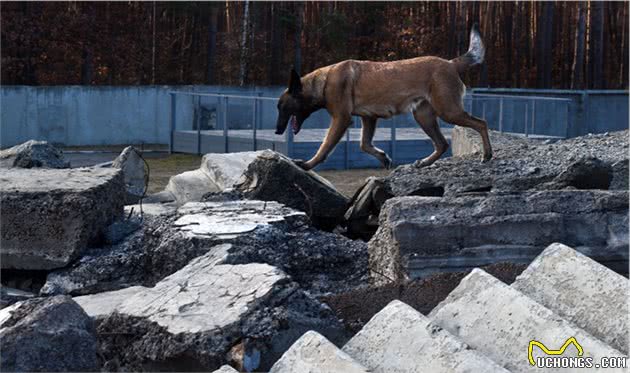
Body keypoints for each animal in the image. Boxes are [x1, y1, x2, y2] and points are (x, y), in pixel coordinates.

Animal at [274, 22, 492, 169]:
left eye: (282, 107)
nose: (277, 131)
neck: (322, 82)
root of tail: (451, 63)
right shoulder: (368, 118)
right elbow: (364, 145)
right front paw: (383, 157)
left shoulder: (341, 119)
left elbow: (325, 148)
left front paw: (307, 165)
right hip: (424, 116)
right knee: (442, 143)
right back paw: (424, 162)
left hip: (448, 111)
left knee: (481, 123)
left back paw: (487, 155)